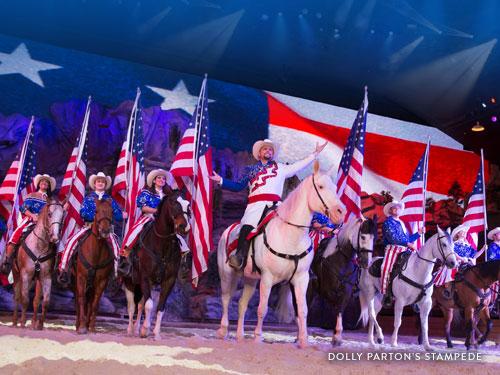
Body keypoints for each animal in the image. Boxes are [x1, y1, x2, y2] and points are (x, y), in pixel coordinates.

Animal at [12, 198, 63, 330]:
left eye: (62, 216)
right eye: (49, 214)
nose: (55, 237)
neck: (39, 246)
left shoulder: (46, 277)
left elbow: (45, 301)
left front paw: (39, 325)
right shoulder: (25, 275)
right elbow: (25, 300)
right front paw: (22, 323)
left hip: (36, 280)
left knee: (35, 300)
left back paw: (33, 323)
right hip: (17, 274)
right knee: (17, 296)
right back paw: (15, 322)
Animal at [73, 200, 114, 334]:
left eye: (112, 211)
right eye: (96, 211)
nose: (105, 230)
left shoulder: (102, 281)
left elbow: (95, 302)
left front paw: (91, 326)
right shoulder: (81, 278)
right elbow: (81, 300)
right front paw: (81, 327)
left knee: (90, 301)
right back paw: (78, 324)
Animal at [123, 192, 189, 342]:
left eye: (188, 206)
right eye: (174, 203)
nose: (184, 227)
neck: (162, 245)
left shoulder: (168, 281)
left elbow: (160, 307)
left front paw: (156, 333)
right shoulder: (145, 278)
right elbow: (149, 305)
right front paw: (145, 330)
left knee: (140, 304)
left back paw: (136, 328)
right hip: (130, 282)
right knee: (132, 306)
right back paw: (130, 330)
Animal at [217, 160, 346, 348]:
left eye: (335, 187)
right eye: (321, 186)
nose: (341, 212)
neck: (290, 235)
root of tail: (228, 230)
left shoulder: (301, 279)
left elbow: (302, 310)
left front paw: (303, 341)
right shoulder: (267, 278)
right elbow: (262, 309)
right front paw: (257, 338)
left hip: (250, 279)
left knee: (242, 304)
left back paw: (240, 336)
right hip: (227, 275)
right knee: (226, 300)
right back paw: (223, 331)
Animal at [306, 217, 376, 346]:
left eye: (374, 238)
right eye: (363, 237)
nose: (366, 262)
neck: (341, 259)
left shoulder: (346, 293)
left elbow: (339, 311)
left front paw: (337, 337)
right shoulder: (329, 291)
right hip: (309, 289)